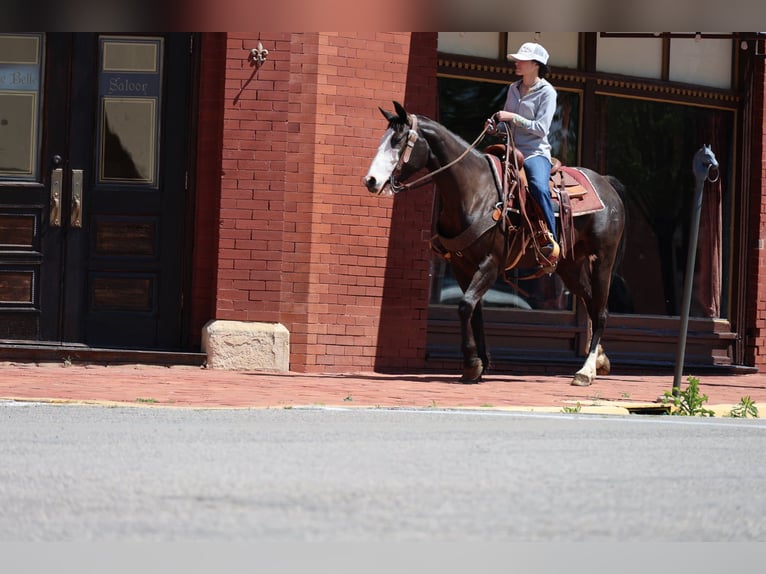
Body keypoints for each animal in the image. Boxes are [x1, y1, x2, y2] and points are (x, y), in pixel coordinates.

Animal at [363, 101, 626, 387]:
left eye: (398, 140)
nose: (371, 181)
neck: (473, 191)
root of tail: (607, 184)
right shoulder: (461, 266)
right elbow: (474, 310)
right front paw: (480, 364)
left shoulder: (491, 263)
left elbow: (465, 306)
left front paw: (471, 364)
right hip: (571, 267)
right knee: (593, 306)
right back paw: (599, 361)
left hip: (603, 260)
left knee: (601, 311)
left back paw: (585, 371)